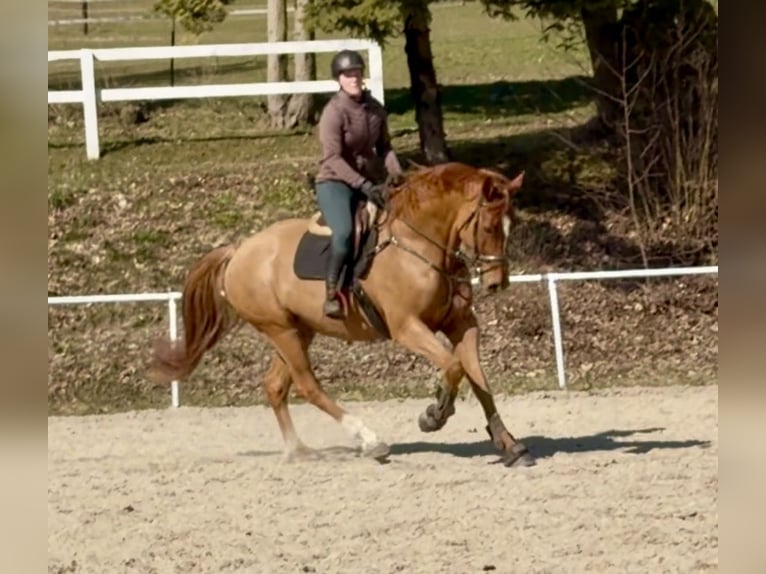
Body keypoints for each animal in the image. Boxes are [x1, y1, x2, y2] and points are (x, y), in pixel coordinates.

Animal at [150, 161, 535, 467]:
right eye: (489, 227)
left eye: (512, 224)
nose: (498, 282)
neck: (420, 244)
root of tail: (239, 249)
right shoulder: (407, 327)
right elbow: (454, 367)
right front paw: (434, 416)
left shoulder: (461, 324)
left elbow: (479, 380)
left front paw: (509, 445)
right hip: (280, 330)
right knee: (308, 386)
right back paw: (369, 439)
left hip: (298, 330)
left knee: (275, 386)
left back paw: (300, 450)